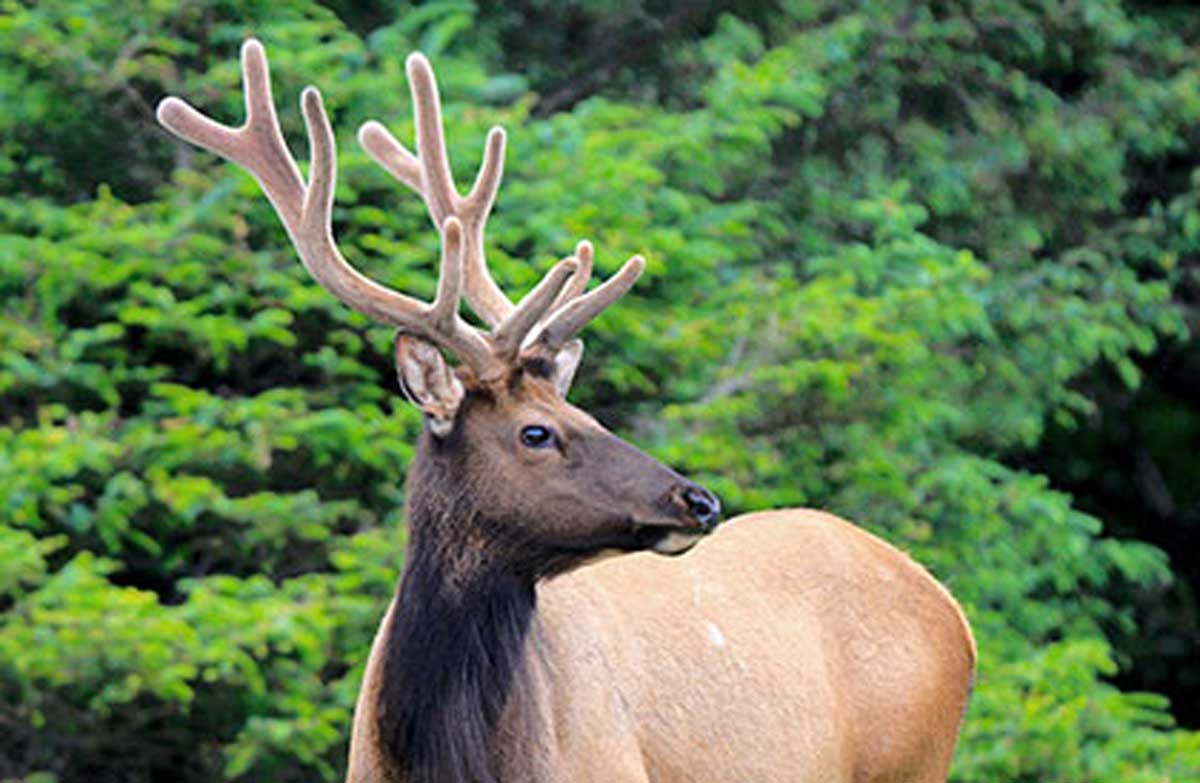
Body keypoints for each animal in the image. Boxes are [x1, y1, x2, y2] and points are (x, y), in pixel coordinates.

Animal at [157, 39, 976, 783]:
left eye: (587, 414)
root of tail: (951, 609)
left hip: (915, 762)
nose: (699, 499)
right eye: (537, 430)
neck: (449, 765)